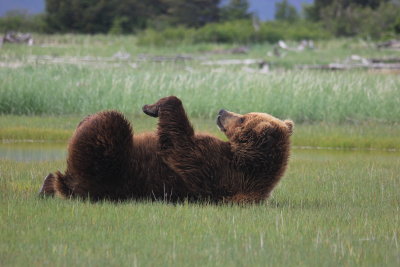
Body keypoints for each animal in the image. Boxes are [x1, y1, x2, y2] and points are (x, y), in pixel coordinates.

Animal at [39, 96, 292, 203]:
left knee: (113, 122)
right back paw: (47, 186)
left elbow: (179, 145)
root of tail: (70, 187)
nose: (222, 111)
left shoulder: (217, 168)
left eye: (242, 118)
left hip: (106, 169)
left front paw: (153, 106)